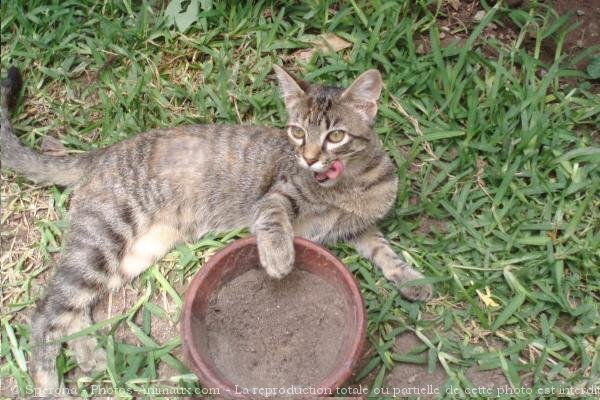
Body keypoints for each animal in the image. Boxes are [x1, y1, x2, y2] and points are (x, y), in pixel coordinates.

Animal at [0, 65, 434, 394]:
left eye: (336, 136)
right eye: (297, 132)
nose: (310, 158)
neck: (348, 185)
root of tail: (98, 154)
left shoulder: (358, 229)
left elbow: (384, 251)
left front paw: (412, 279)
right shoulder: (273, 199)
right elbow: (274, 220)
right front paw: (279, 258)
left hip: (127, 256)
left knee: (75, 308)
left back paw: (88, 354)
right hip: (103, 240)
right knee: (44, 313)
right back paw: (49, 384)